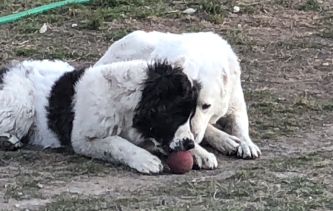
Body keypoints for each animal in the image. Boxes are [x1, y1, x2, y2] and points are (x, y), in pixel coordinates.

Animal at [0, 59, 204, 173]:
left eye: (190, 116)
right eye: (176, 115)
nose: (189, 144)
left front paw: (201, 153)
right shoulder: (83, 139)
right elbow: (116, 143)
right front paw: (145, 160)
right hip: (21, 103)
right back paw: (10, 141)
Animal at [94, 30, 260, 168]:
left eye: (206, 106)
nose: (193, 136)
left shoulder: (234, 101)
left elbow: (239, 124)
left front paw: (246, 143)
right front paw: (201, 153)